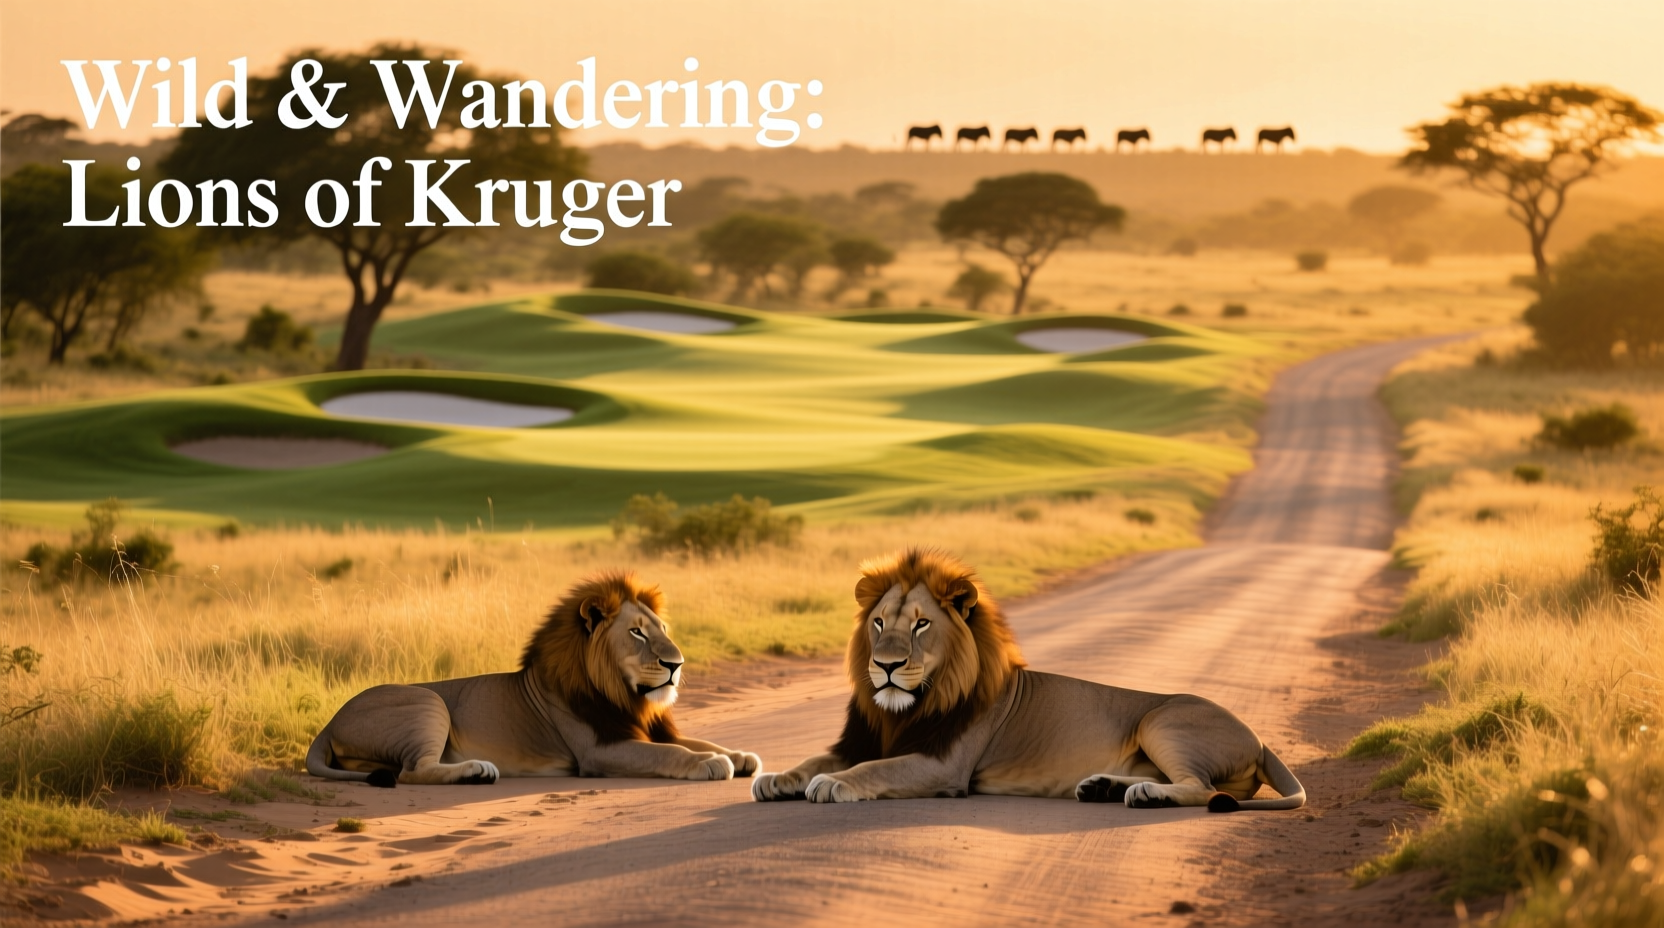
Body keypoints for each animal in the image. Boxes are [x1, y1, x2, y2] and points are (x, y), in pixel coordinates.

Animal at [306, 571, 760, 787]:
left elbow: (695, 741)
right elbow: (671, 753)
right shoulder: (598, 750)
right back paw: (476, 771)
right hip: (426, 702)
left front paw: (738, 755)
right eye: (637, 633)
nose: (677, 664)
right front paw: (710, 763)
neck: (626, 695)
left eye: (662, 627)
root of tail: (329, 721)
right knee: (412, 771)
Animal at [752, 548, 1304, 811]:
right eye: (879, 623)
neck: (904, 709)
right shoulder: (863, 739)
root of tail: (1259, 738)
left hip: (1161, 720)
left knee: (1200, 787)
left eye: (922, 624)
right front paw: (776, 778)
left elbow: (873, 769)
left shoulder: (945, 765)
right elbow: (813, 759)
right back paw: (1104, 787)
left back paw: (1147, 795)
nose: (885, 666)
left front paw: (833, 784)